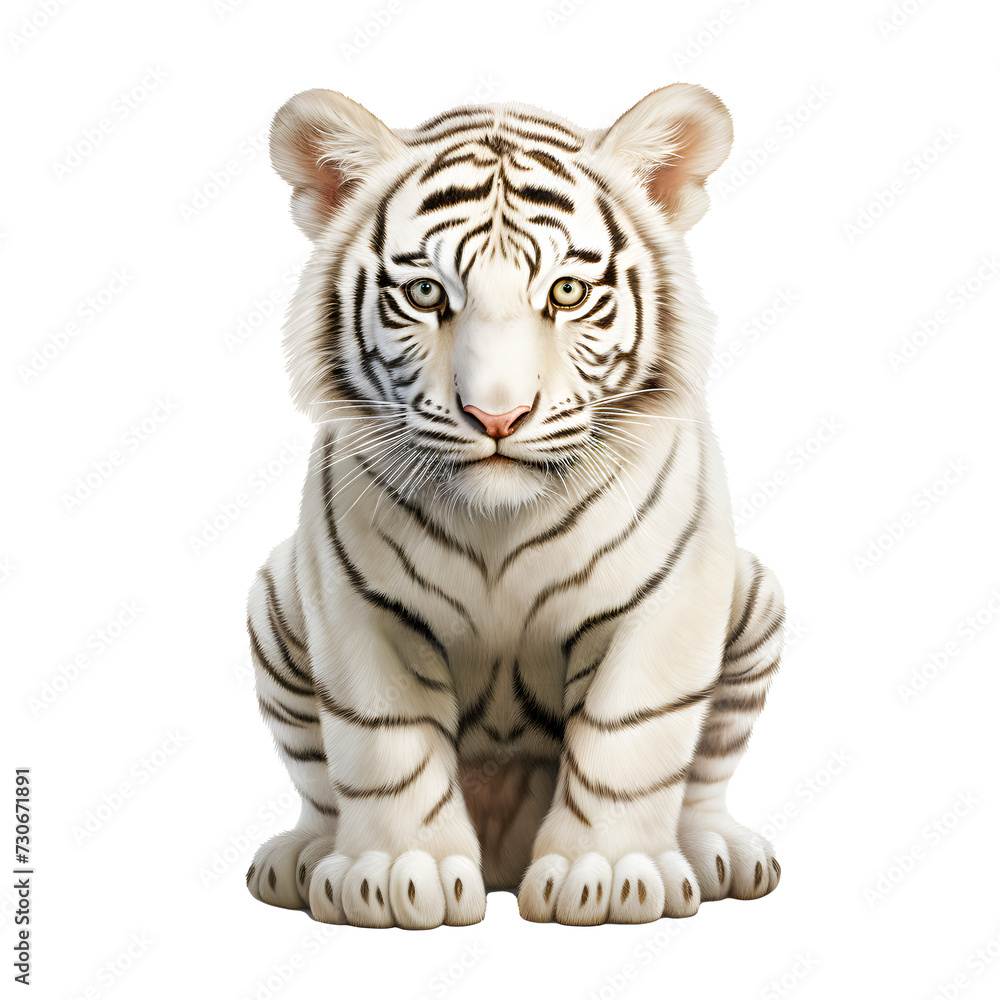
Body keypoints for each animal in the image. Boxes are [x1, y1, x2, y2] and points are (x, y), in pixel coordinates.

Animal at [244, 83, 786, 928]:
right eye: (426, 293)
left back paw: (717, 853)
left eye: (567, 291)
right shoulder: (356, 604)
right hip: (274, 600)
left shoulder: (669, 599)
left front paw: (608, 876)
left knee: (703, 777)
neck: (499, 523)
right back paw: (302, 860)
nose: (496, 416)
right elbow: (384, 744)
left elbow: (629, 738)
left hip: (754, 594)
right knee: (318, 784)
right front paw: (399, 877)